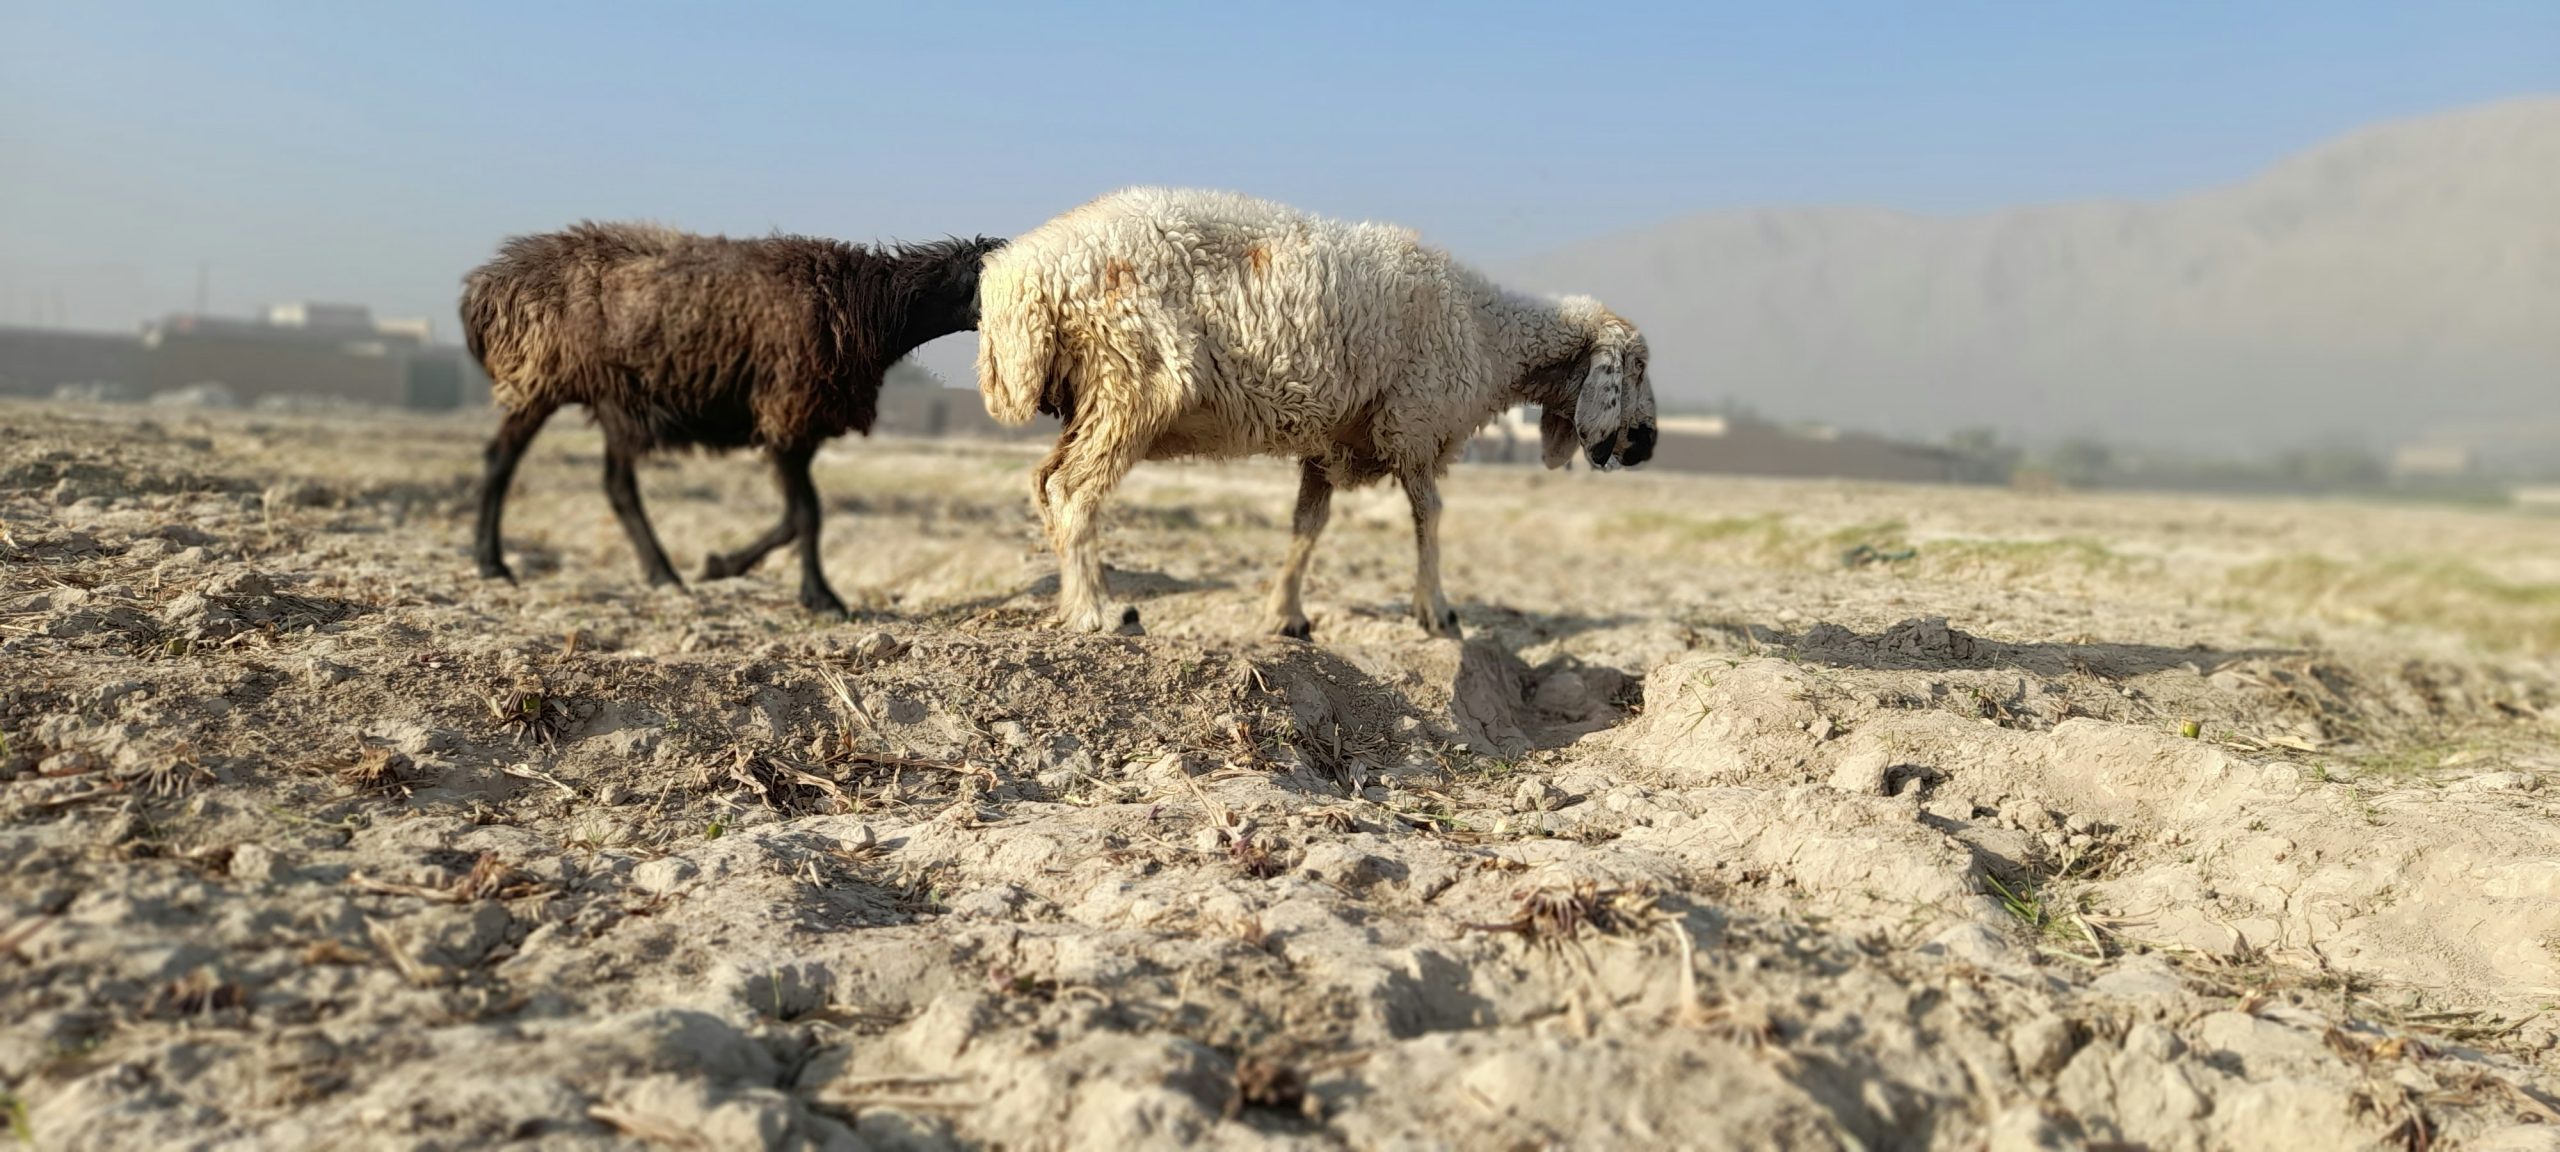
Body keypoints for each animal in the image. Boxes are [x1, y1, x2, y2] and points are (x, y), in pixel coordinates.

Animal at [460, 221, 1004, 616]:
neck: (871, 309)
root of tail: (488, 285)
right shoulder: (788, 407)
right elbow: (807, 514)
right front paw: (822, 599)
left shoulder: (795, 421)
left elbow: (793, 516)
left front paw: (721, 565)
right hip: (538, 376)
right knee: (501, 459)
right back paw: (492, 564)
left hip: (614, 398)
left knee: (616, 485)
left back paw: (663, 575)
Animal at [974, 187, 1657, 640]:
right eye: (1639, 367)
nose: (1648, 443)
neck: (1492, 332)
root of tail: (1020, 276)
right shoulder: (1414, 423)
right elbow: (1430, 518)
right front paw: (1435, 610)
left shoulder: (1332, 441)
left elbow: (1308, 525)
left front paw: (1285, 614)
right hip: (1136, 377)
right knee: (1073, 487)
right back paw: (1095, 610)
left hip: (1099, 394)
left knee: (1046, 481)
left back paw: (1072, 594)